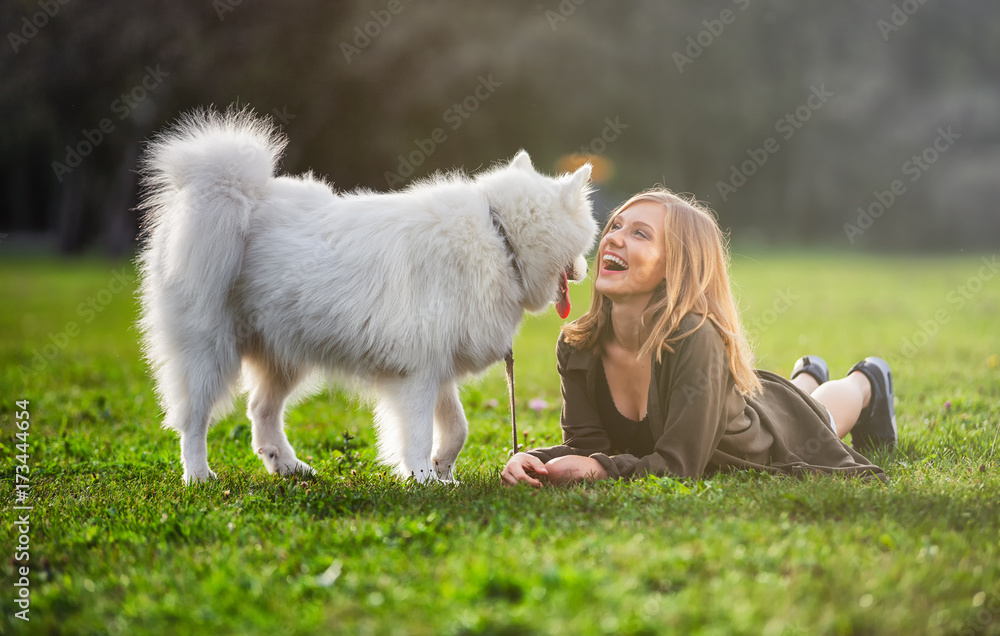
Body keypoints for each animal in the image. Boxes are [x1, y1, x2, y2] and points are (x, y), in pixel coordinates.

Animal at [137, 109, 596, 484]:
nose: (585, 271)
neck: (499, 236)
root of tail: (234, 196)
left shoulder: (438, 367)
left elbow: (457, 428)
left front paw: (444, 471)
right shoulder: (417, 374)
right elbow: (418, 434)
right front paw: (424, 479)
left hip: (285, 356)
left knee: (261, 410)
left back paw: (288, 465)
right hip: (209, 354)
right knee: (193, 420)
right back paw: (199, 475)